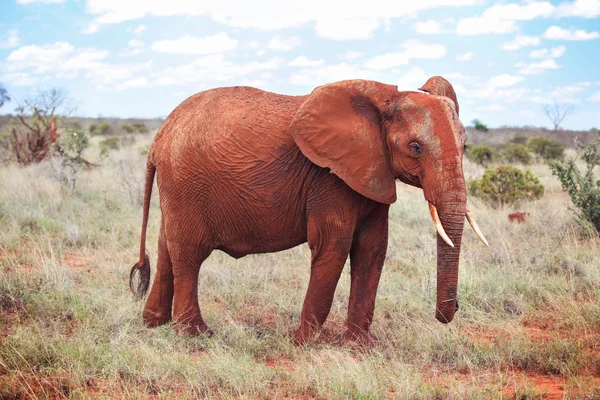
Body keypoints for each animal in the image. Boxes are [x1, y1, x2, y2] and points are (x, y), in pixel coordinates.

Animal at [130, 76, 488, 346]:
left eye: (465, 146)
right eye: (415, 148)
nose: (452, 309)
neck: (382, 102)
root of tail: (158, 139)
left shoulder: (372, 172)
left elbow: (372, 249)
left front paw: (361, 346)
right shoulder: (328, 177)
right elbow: (334, 245)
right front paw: (304, 343)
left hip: (177, 188)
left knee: (166, 247)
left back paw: (153, 324)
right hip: (185, 182)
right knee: (189, 253)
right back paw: (196, 335)